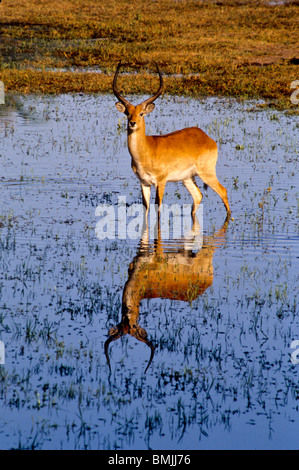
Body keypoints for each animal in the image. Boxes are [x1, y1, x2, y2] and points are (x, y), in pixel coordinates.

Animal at [112, 60, 232, 218]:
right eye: (127, 113)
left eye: (141, 113)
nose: (132, 123)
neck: (146, 151)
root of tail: (207, 138)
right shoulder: (144, 183)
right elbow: (145, 207)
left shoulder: (161, 181)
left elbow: (158, 207)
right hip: (187, 178)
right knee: (198, 195)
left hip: (206, 173)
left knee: (223, 191)